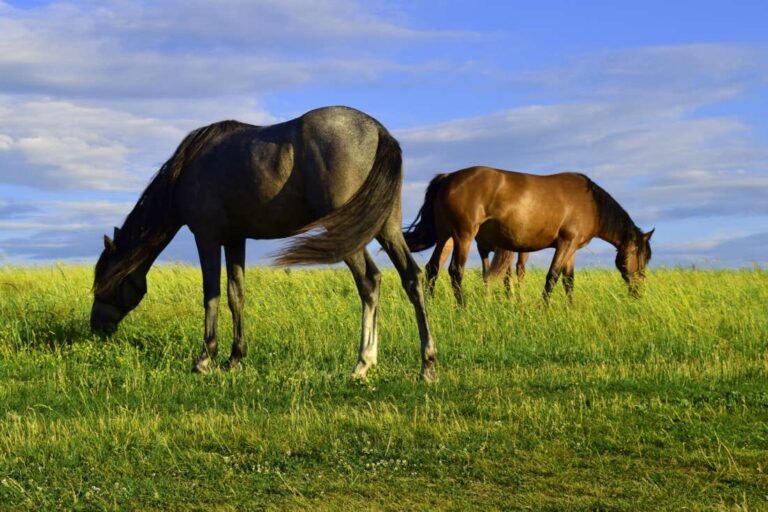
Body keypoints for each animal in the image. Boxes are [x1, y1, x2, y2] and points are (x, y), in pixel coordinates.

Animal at [91, 106, 437, 381]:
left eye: (101, 284)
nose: (95, 327)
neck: (186, 170)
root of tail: (378, 131)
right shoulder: (235, 238)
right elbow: (236, 295)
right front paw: (235, 358)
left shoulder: (207, 236)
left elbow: (212, 295)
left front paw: (205, 359)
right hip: (384, 227)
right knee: (410, 278)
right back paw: (426, 365)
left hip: (348, 231)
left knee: (369, 281)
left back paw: (363, 363)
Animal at [404, 166, 653, 305]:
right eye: (642, 260)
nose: (639, 293)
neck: (591, 204)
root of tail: (448, 177)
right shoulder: (565, 243)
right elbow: (552, 276)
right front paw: (542, 306)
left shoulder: (572, 249)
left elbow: (569, 281)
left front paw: (570, 307)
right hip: (463, 236)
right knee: (455, 271)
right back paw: (461, 307)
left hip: (445, 236)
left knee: (432, 268)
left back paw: (431, 304)